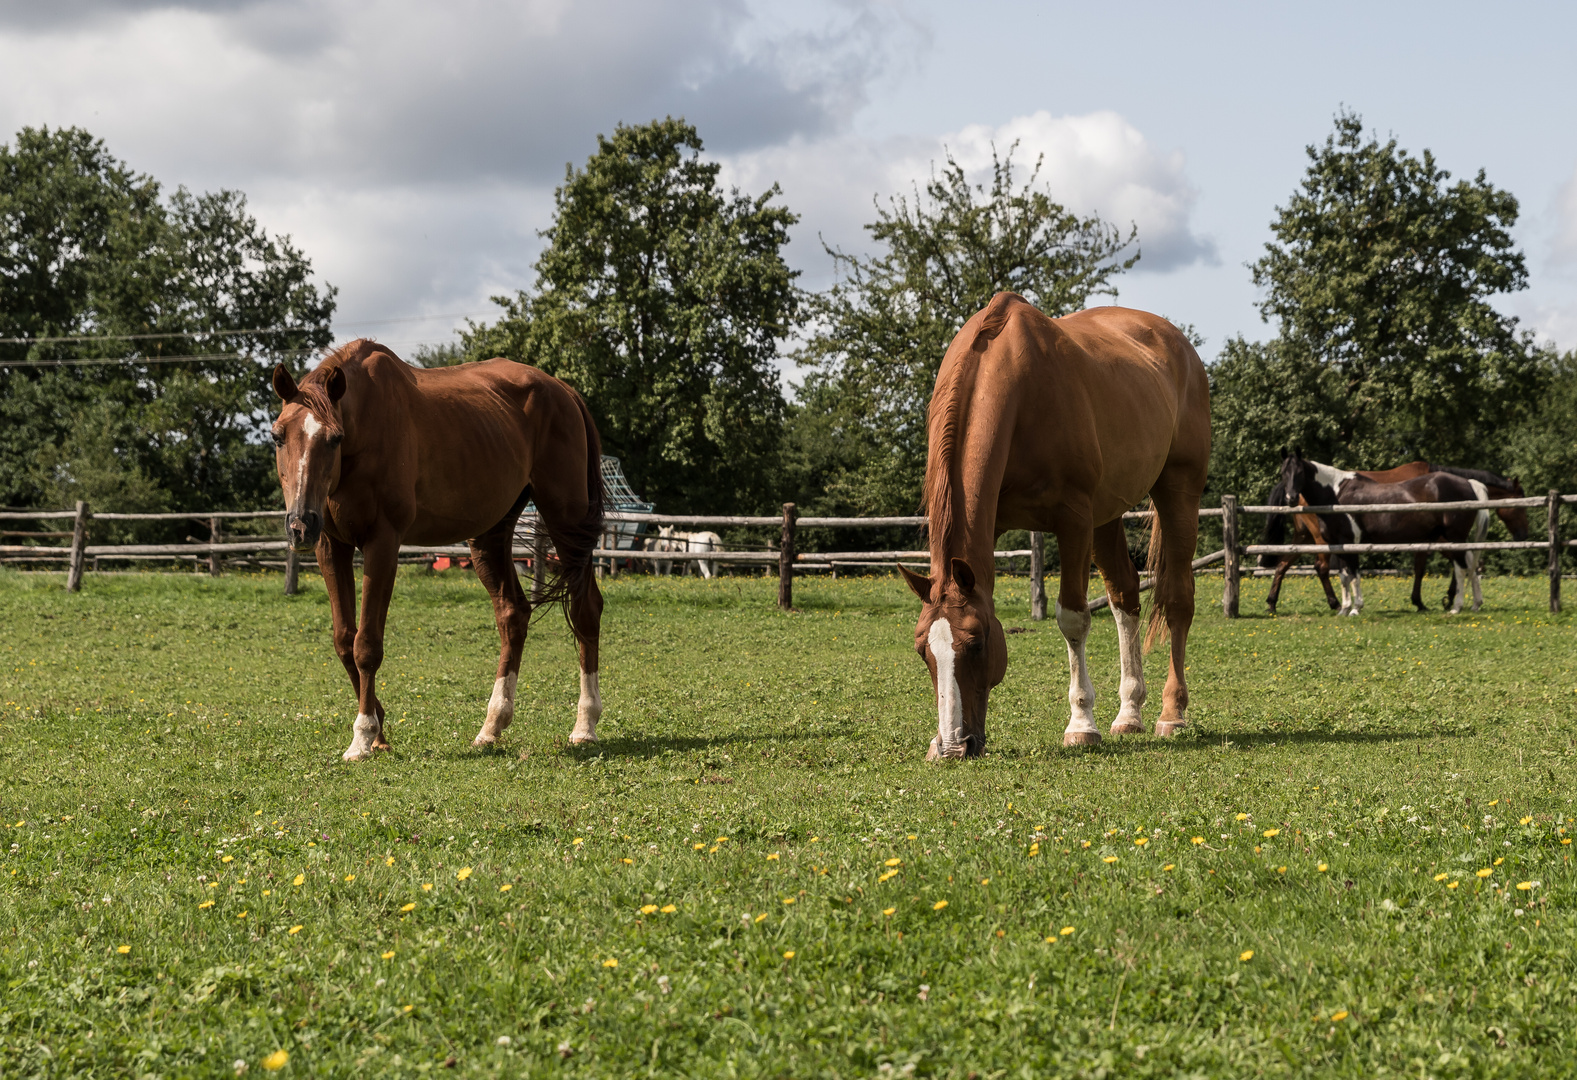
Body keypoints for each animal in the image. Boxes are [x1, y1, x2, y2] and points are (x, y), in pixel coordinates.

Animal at [271, 340, 602, 763]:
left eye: (334, 438)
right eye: (278, 436)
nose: (300, 524)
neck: (367, 428)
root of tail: (564, 391)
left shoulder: (383, 543)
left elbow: (366, 645)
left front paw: (363, 736)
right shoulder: (331, 546)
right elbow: (345, 641)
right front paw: (379, 730)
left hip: (567, 521)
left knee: (585, 610)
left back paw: (585, 725)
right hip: (489, 535)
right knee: (513, 615)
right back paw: (491, 727)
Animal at [902, 290, 1204, 753]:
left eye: (977, 643)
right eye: (923, 650)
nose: (953, 746)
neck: (1017, 385)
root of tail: (1177, 343)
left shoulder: (1074, 521)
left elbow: (1073, 618)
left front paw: (1081, 724)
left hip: (1178, 490)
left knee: (1178, 599)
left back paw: (1172, 714)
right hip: (1106, 515)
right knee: (1125, 596)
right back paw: (1129, 713)